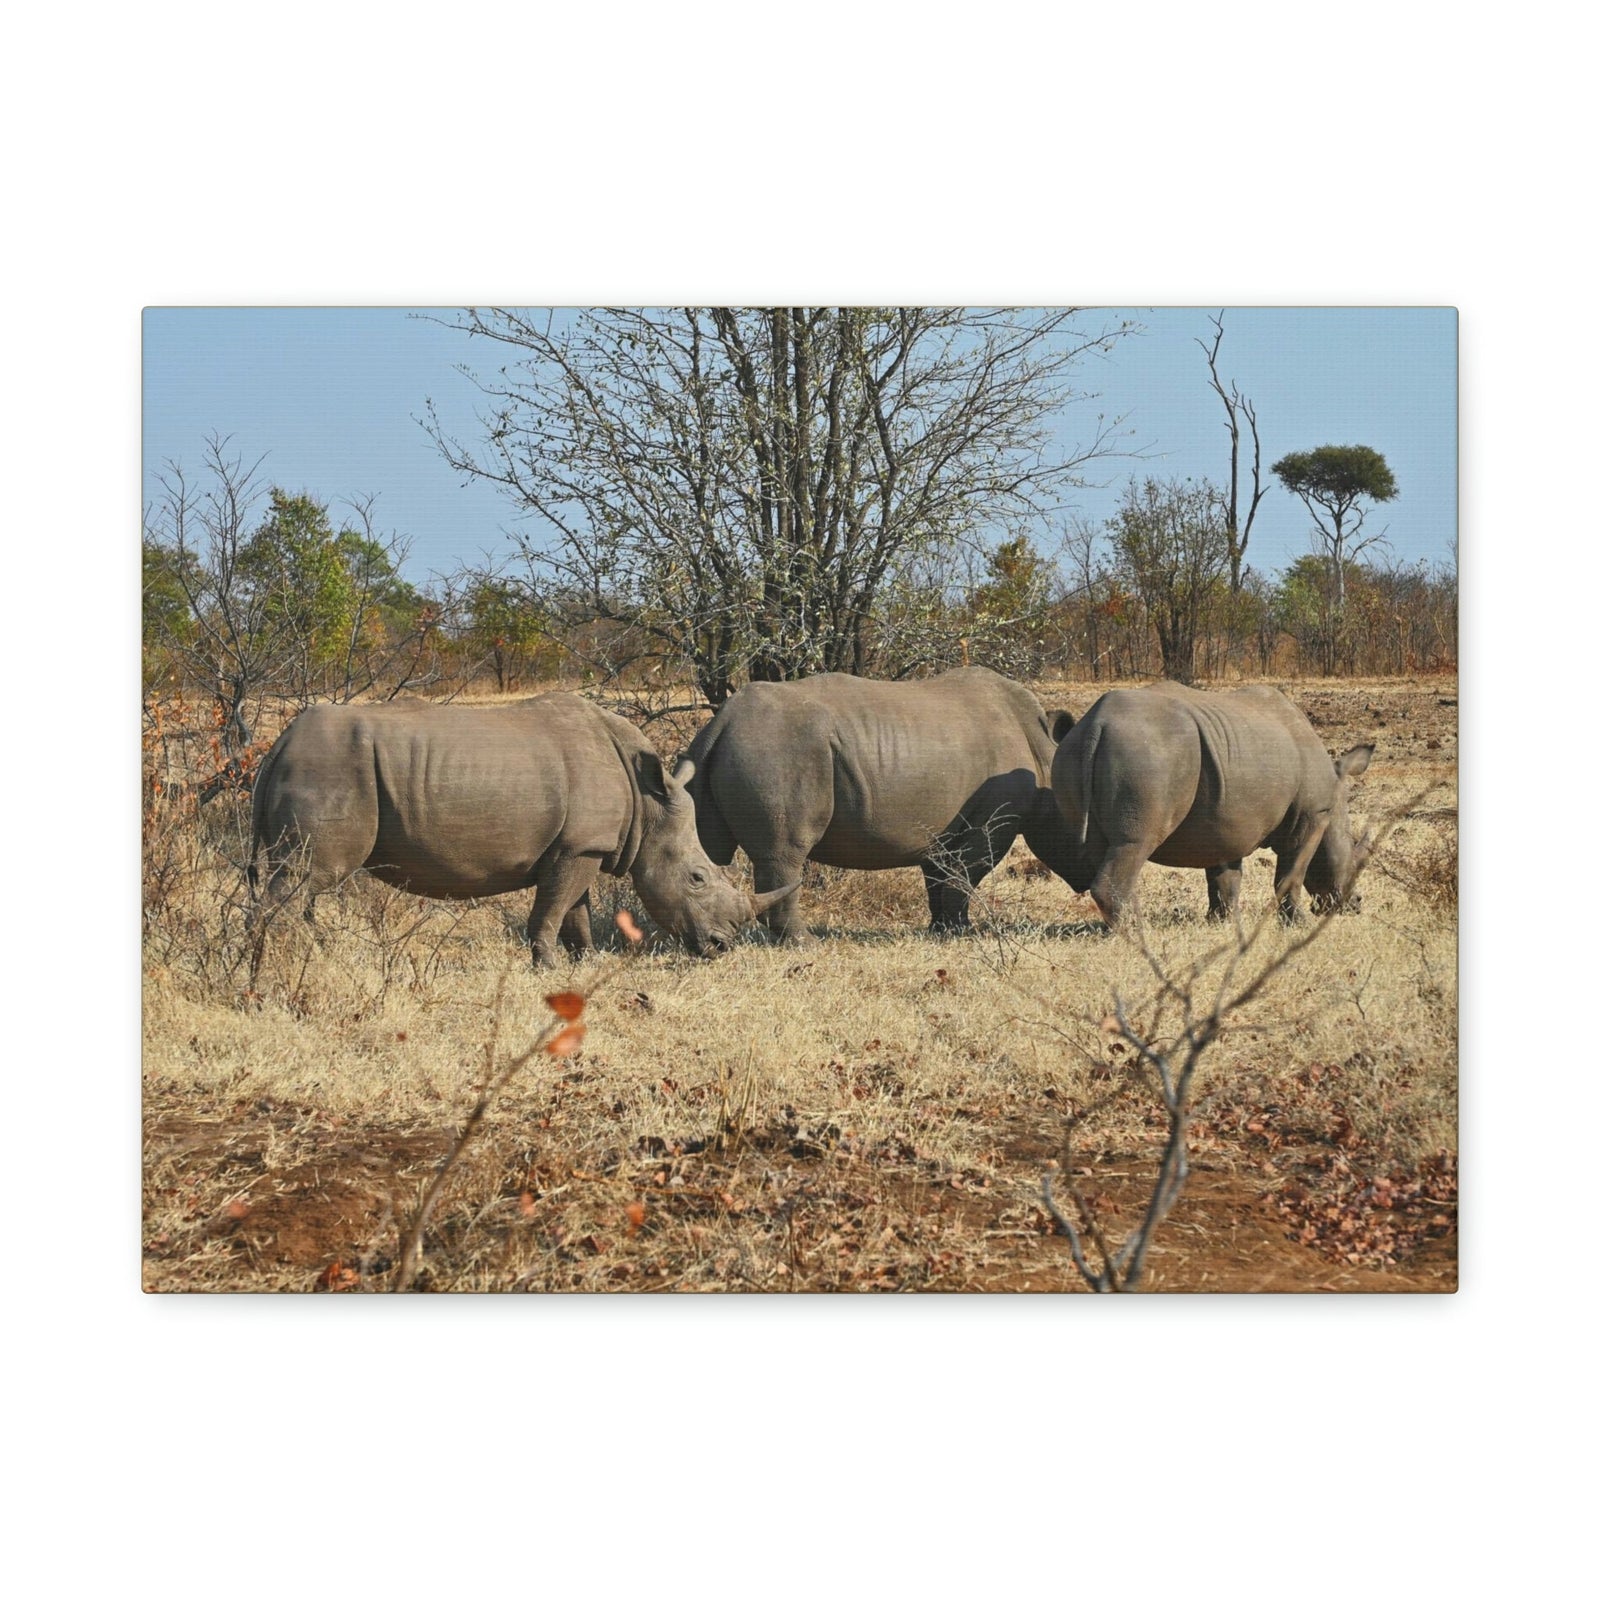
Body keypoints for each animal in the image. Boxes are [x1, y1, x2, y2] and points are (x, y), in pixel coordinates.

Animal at [248, 695, 795, 966]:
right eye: (697, 878)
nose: (722, 947)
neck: (648, 801)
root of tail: (278, 745)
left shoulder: (582, 845)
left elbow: (574, 911)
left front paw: (585, 964)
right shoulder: (580, 847)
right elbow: (551, 910)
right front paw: (546, 968)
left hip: (319, 767)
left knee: (303, 885)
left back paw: (313, 959)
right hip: (331, 770)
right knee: (306, 878)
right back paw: (284, 970)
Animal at [681, 667, 1082, 941]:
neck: (1045, 757)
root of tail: (722, 720)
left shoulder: (941, 828)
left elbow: (939, 876)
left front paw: (939, 930)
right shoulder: (994, 819)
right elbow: (966, 872)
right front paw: (961, 932)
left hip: (732, 751)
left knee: (710, 850)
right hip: (777, 751)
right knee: (784, 854)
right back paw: (803, 943)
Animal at [1049, 682, 1374, 927]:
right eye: (1355, 859)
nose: (1357, 904)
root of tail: (1096, 724)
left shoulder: (1227, 822)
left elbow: (1225, 878)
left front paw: (1224, 922)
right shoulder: (1312, 815)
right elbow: (1291, 874)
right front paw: (1298, 925)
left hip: (1072, 753)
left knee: (1103, 848)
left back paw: (1121, 927)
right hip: (1146, 755)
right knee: (1135, 843)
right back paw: (1138, 933)